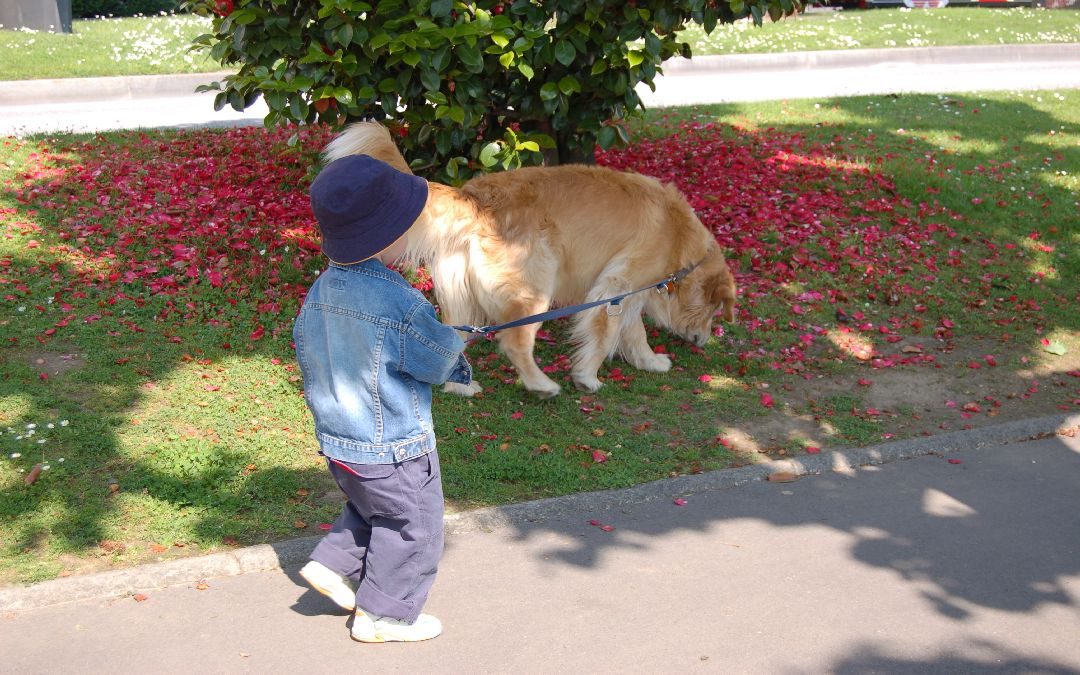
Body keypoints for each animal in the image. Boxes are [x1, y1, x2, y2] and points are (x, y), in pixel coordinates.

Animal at [324, 120, 738, 397]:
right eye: (716, 310)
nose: (704, 341)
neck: (678, 236)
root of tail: (473, 197)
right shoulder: (616, 286)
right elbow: (606, 333)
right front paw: (588, 377)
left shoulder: (629, 292)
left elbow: (634, 333)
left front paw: (649, 361)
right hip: (534, 287)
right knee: (514, 342)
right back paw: (541, 384)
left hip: (462, 295)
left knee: (454, 339)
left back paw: (463, 387)